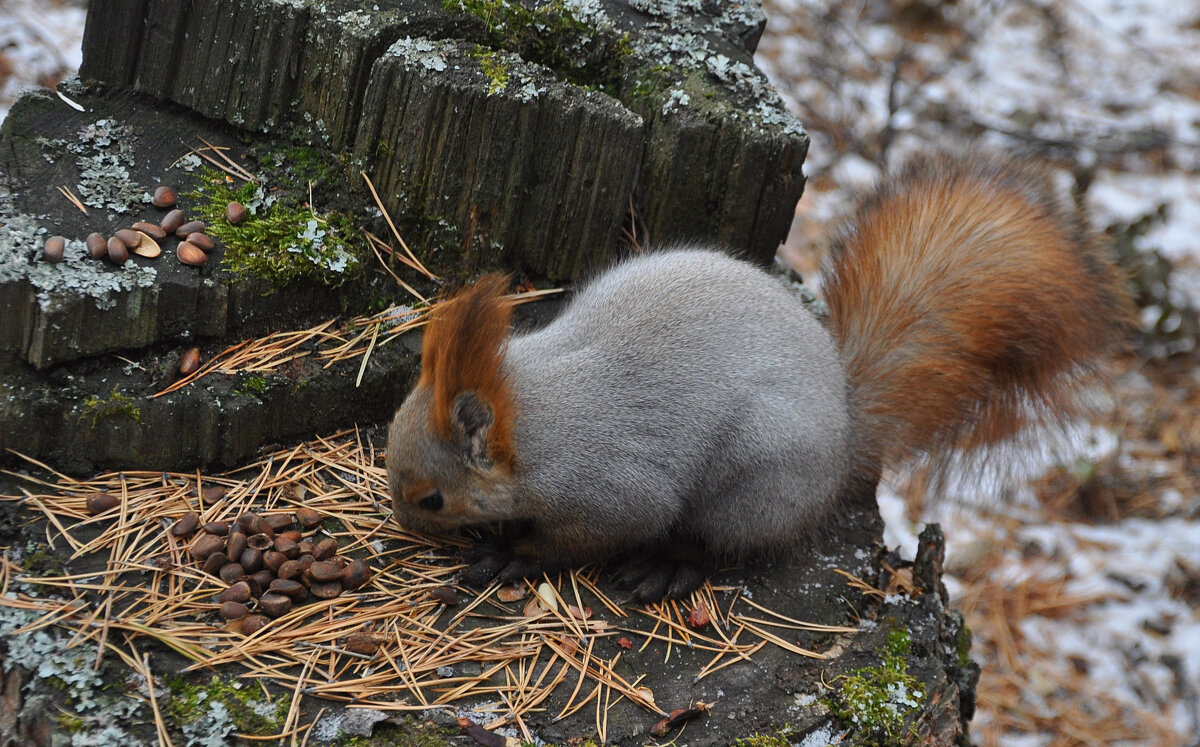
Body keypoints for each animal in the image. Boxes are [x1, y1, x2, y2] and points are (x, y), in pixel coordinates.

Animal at [381, 152, 1123, 602]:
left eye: (433, 500)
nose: (404, 526)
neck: (532, 410)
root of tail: (844, 436)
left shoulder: (609, 491)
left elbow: (584, 536)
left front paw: (515, 552)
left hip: (752, 481)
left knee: (722, 544)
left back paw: (670, 565)